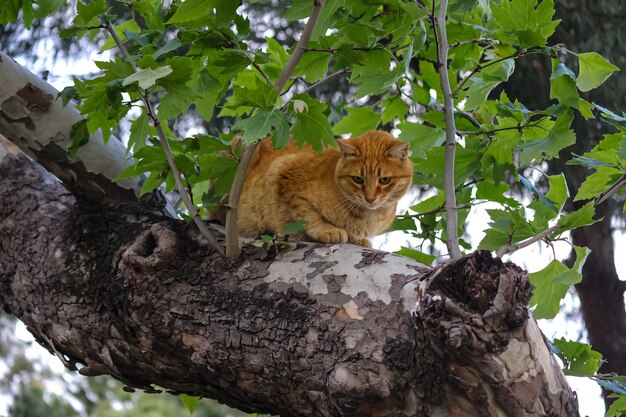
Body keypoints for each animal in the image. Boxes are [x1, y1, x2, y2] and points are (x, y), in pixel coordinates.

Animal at [236, 130, 412, 247]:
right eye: (358, 179)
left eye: (384, 180)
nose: (370, 198)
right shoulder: (283, 170)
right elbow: (307, 214)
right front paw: (326, 230)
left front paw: (359, 240)